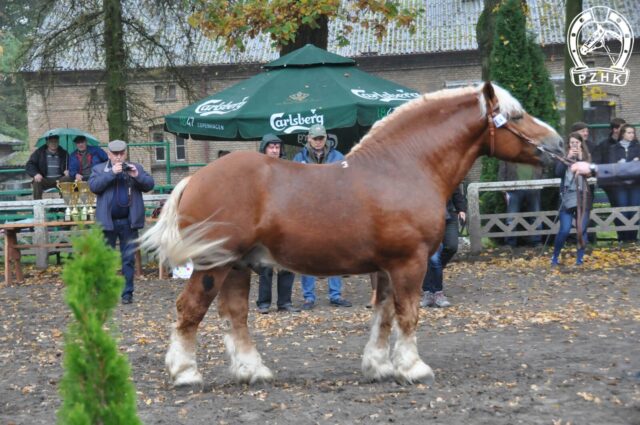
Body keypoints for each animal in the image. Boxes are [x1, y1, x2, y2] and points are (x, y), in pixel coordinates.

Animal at [139, 81, 560, 386]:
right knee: (190, 310)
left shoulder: (387, 267)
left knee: (235, 315)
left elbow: (384, 316)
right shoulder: (410, 263)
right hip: (214, 264)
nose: (556, 143)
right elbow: (408, 315)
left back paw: (252, 371)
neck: (403, 168)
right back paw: (185, 373)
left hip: (238, 266)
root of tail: (194, 179)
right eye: (516, 115)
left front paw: (379, 367)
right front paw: (412, 368)